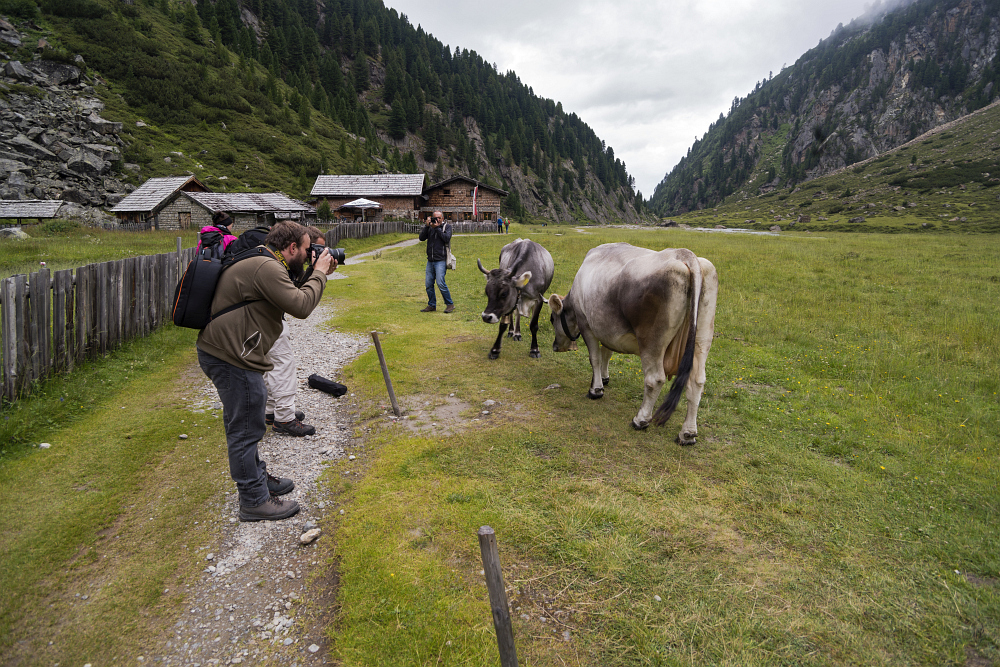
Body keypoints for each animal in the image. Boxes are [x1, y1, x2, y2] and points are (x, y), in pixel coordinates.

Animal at [548, 244, 720, 444]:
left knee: (655, 379)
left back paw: (641, 420)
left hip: (652, 342)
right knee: (697, 382)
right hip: (702, 338)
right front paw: (604, 379)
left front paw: (595, 390)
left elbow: (595, 358)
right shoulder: (607, 328)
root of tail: (683, 254)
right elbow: (607, 353)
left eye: (552, 318)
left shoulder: (586, 325)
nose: (555, 346)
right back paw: (688, 433)